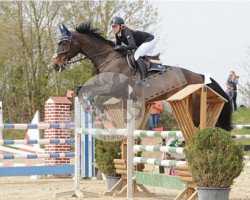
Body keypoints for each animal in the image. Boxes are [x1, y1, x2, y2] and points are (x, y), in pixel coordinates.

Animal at [52, 22, 232, 131]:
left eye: (64, 43)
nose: (55, 64)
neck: (106, 58)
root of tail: (200, 77)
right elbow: (81, 89)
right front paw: (87, 107)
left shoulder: (111, 88)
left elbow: (92, 93)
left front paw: (96, 110)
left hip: (194, 107)